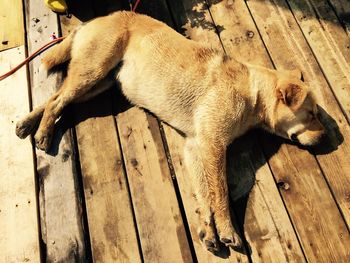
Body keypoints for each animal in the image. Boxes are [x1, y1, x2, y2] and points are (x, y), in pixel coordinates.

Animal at [15, 11, 324, 255]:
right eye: (311, 114)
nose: (326, 138)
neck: (253, 92)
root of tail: (97, 19)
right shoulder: (213, 145)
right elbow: (221, 192)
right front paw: (227, 230)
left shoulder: (196, 147)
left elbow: (204, 194)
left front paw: (208, 230)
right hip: (93, 71)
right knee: (57, 101)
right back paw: (43, 133)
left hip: (98, 84)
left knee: (57, 97)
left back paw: (27, 123)